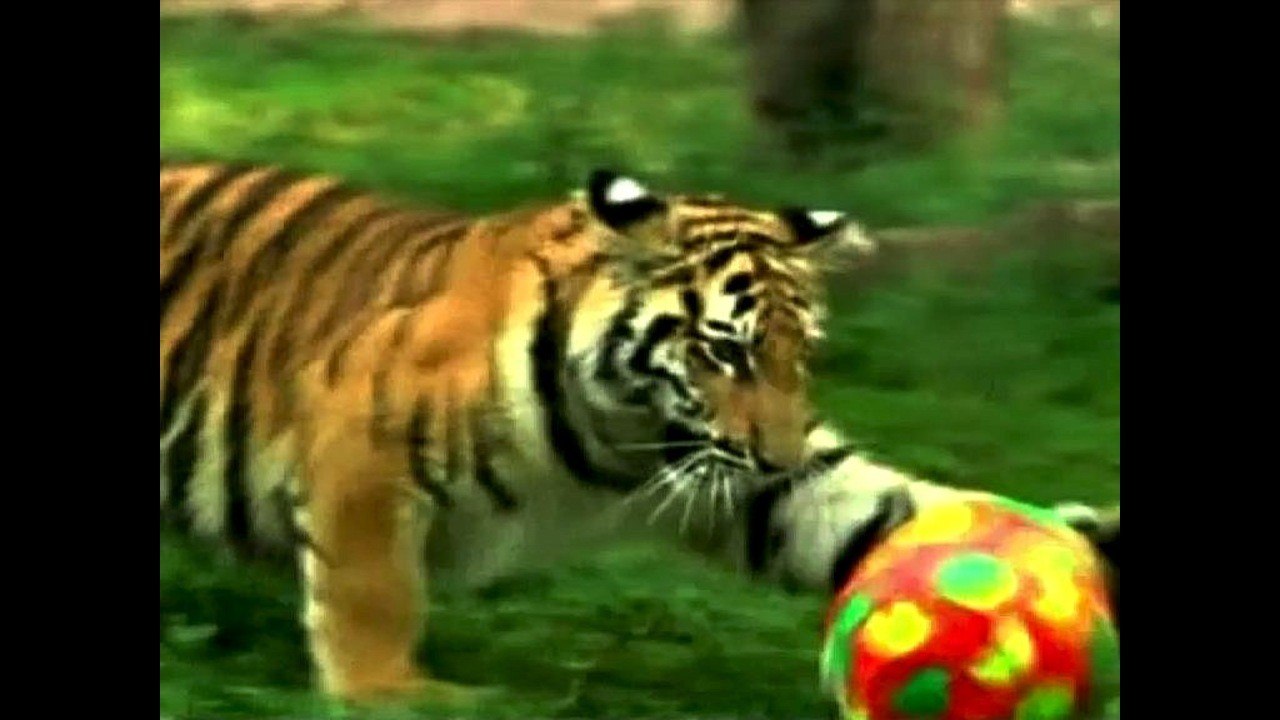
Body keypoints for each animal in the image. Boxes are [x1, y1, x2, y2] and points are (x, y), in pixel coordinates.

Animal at [159, 159, 1116, 703]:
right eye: (725, 351)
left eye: (798, 354)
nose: (777, 449)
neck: (620, 434)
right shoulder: (362, 446)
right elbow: (373, 592)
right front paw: (389, 693)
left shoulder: (758, 482)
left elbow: (894, 517)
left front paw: (1090, 539)